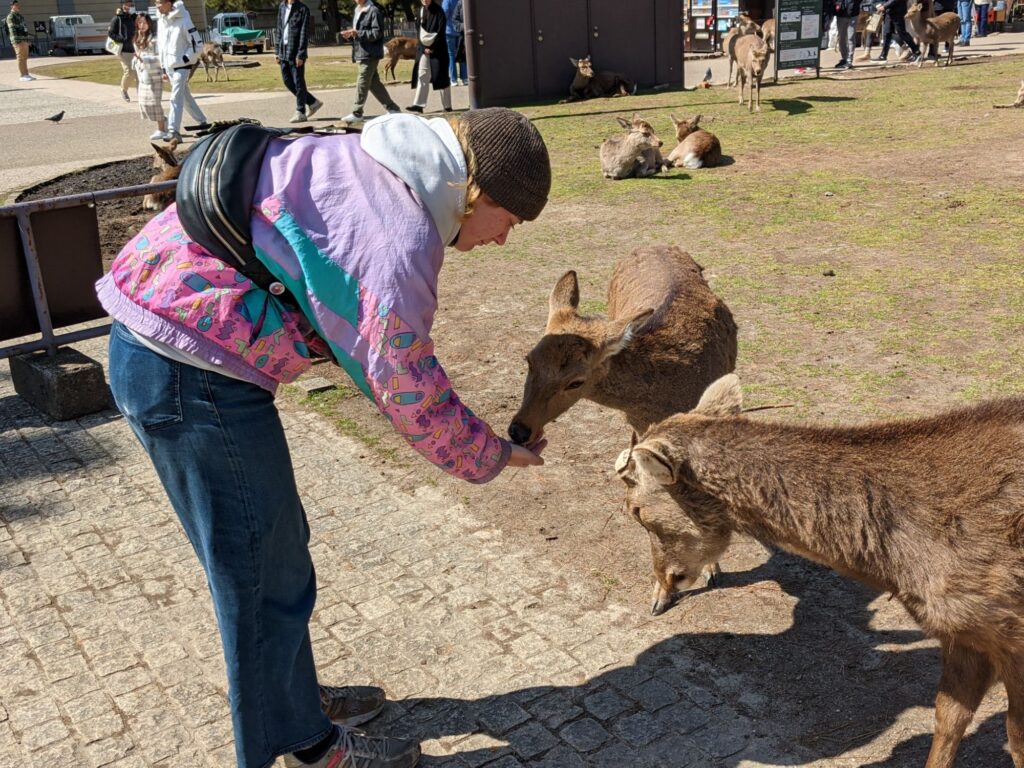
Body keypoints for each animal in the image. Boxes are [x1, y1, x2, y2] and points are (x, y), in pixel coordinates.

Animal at [617, 373, 1024, 768]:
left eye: (635, 510)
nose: (663, 584)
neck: (901, 564)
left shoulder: (1011, 638)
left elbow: (1015, 743)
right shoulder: (964, 635)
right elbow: (948, 720)